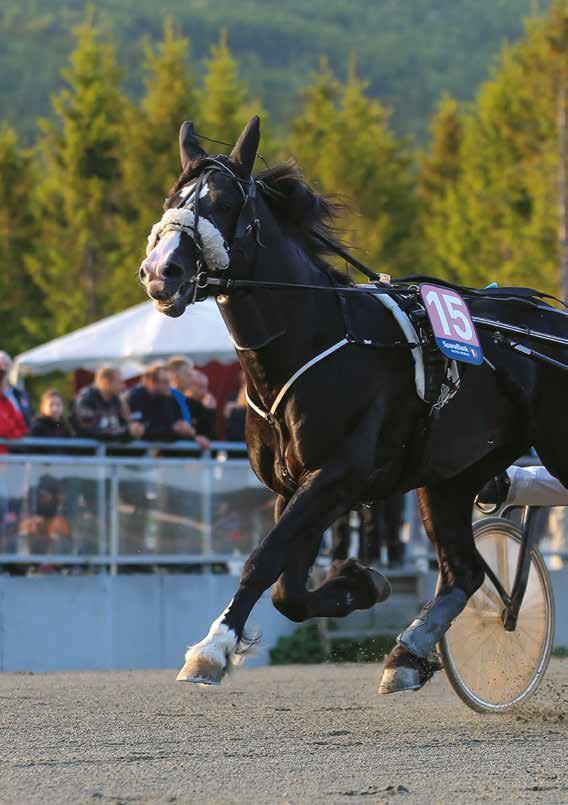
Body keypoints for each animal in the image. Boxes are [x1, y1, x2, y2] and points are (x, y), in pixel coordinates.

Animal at [139, 114, 568, 692]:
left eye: (223, 203)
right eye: (172, 198)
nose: (161, 271)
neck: (315, 338)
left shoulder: (338, 473)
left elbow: (262, 560)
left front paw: (211, 649)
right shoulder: (294, 485)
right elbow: (288, 590)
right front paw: (360, 581)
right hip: (452, 477)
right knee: (464, 571)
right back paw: (409, 652)